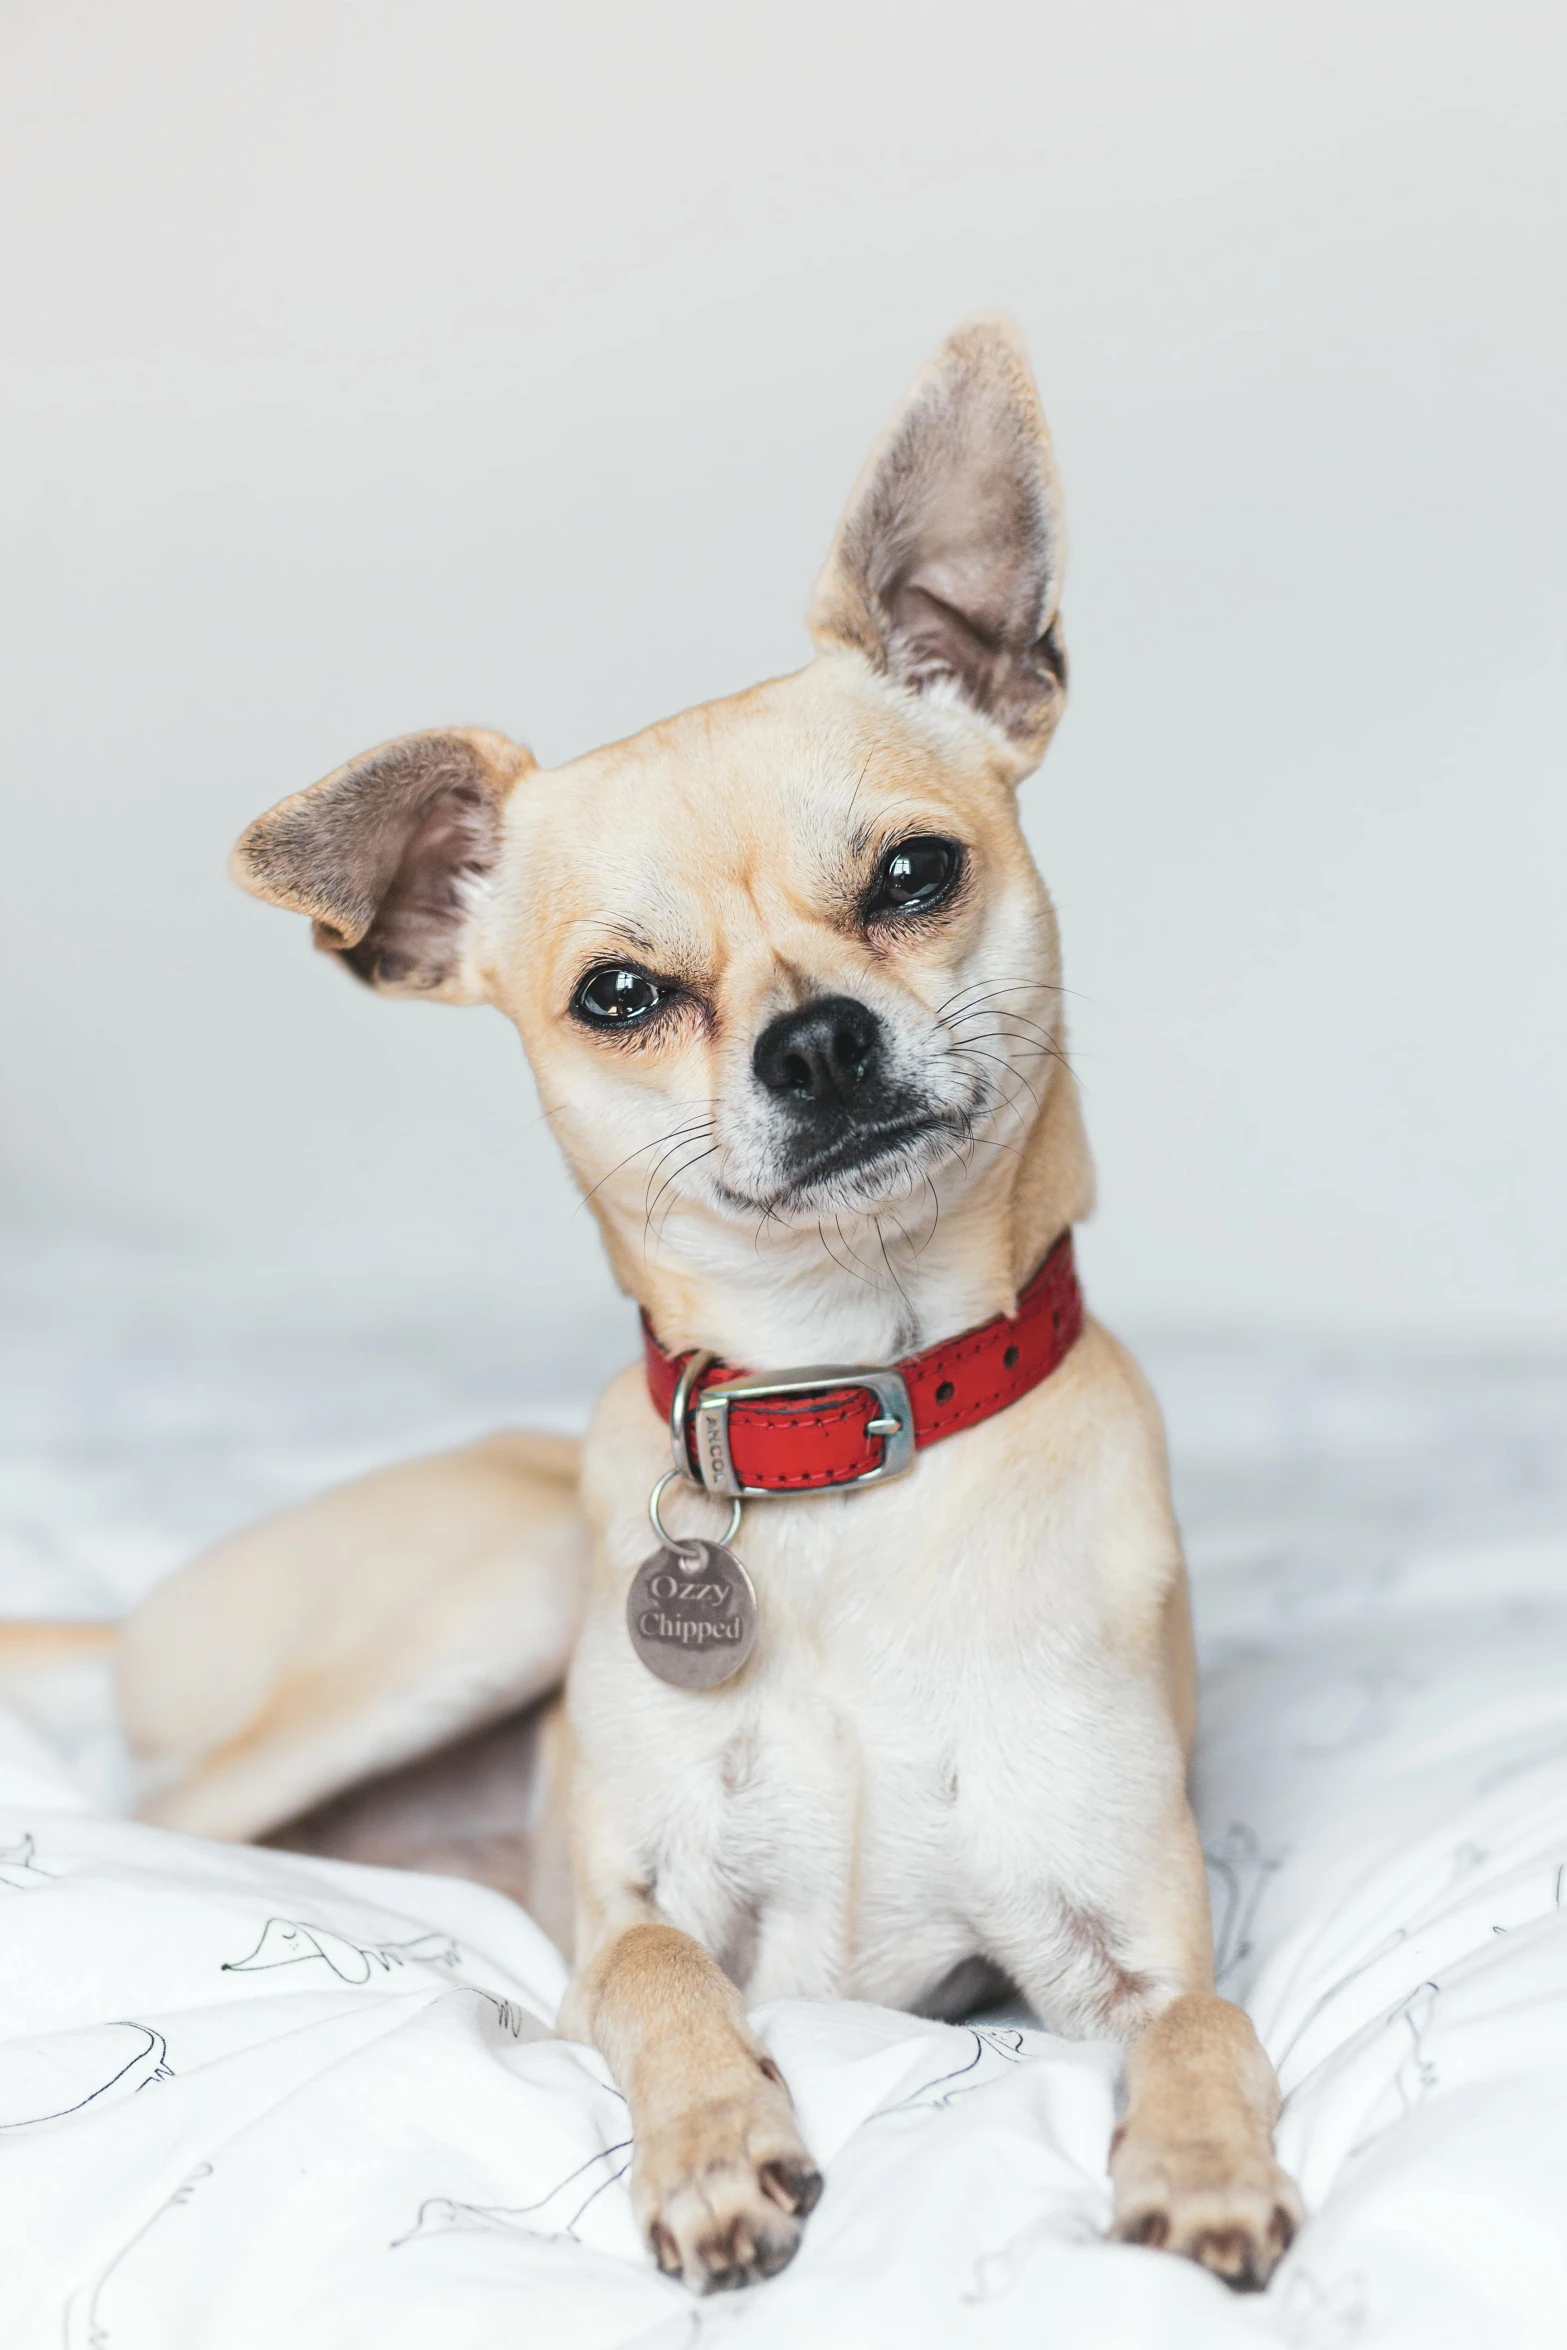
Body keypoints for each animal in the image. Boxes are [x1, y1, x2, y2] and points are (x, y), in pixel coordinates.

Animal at [110, 317, 1306, 2293]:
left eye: (913, 873)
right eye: (617, 994)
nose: (813, 1040)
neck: (849, 1418)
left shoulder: (1122, 1944)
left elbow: (1210, 2021)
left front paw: (1203, 2163)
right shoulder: (623, 1917)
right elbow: (663, 1974)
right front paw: (714, 2146)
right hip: (479, 1607)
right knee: (132, 1820)